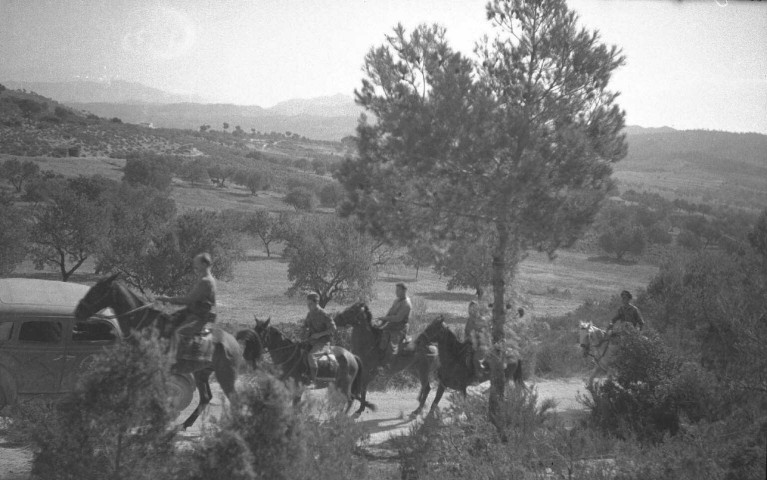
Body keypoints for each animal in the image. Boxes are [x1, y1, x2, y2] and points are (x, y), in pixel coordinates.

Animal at [74, 276, 243, 430]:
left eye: (96, 291)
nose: (78, 312)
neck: (144, 326)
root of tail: (234, 342)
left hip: (226, 375)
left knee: (234, 399)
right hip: (201, 373)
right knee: (206, 397)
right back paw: (185, 424)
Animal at [237, 316, 376, 414]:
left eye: (258, 335)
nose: (246, 354)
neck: (289, 356)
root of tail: (352, 356)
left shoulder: (298, 388)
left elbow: (295, 406)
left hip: (344, 385)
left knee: (349, 400)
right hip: (338, 385)